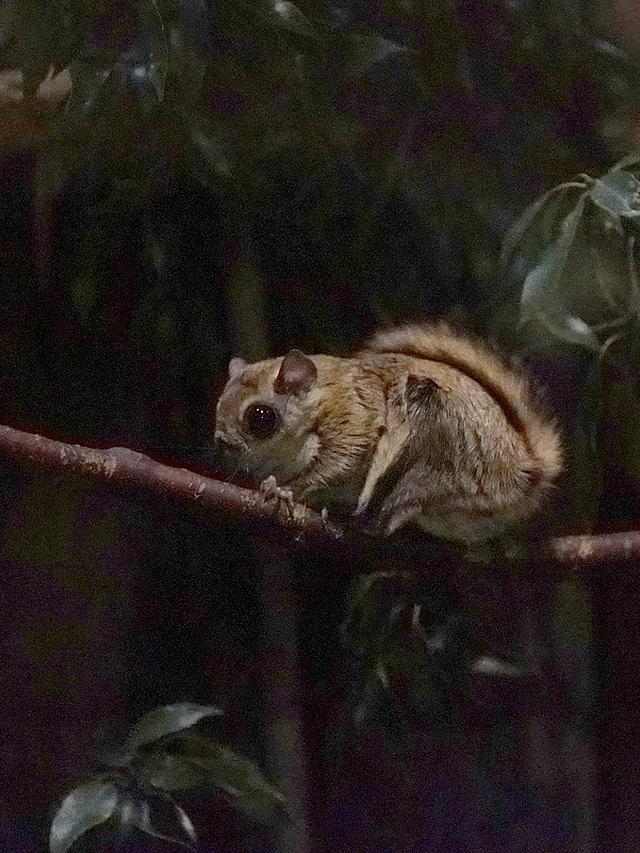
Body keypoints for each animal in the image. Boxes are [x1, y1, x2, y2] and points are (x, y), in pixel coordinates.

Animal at [214, 321, 563, 548]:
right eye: (219, 404)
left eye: (260, 417)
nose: (222, 443)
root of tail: (524, 469)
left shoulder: (354, 421)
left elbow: (335, 465)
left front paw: (284, 491)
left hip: (442, 456)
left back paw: (373, 519)